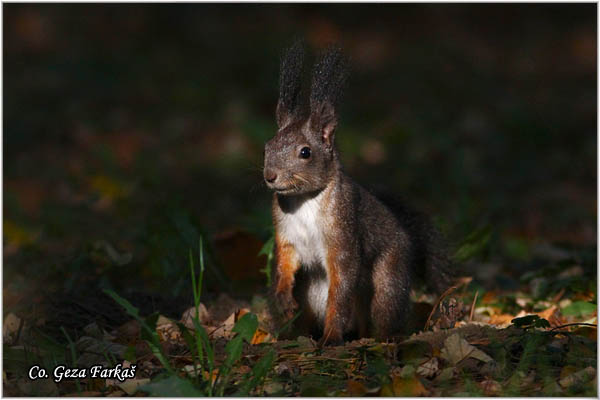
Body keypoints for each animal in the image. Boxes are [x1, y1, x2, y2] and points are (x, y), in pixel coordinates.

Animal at [262, 42, 450, 346]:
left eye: (305, 152)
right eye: (268, 146)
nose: (270, 176)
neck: (305, 201)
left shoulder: (343, 231)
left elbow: (341, 286)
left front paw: (331, 338)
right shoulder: (286, 234)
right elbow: (284, 263)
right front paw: (282, 296)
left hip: (387, 280)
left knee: (382, 310)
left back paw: (377, 338)